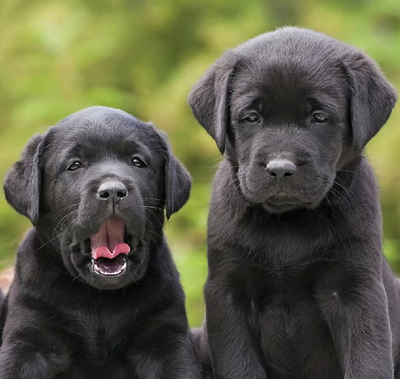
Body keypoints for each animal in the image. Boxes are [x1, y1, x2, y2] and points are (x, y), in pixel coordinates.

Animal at [0, 106, 200, 379]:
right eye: (75, 165)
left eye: (137, 162)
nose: (113, 190)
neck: (99, 300)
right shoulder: (28, 338)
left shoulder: (167, 340)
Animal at [188, 27, 400, 379]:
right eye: (251, 117)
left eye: (319, 117)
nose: (280, 168)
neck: (288, 222)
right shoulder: (228, 292)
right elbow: (240, 365)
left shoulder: (357, 288)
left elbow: (368, 360)